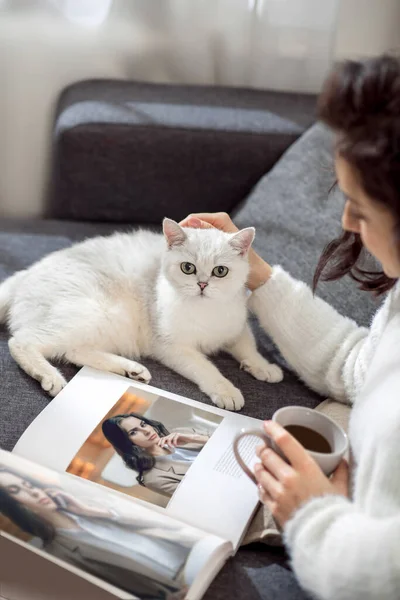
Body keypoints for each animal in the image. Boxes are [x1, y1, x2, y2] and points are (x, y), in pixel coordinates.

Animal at [0, 218, 282, 410]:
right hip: (94, 313)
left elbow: (249, 348)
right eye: (188, 268)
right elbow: (206, 368)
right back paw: (49, 376)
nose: (202, 285)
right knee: (23, 342)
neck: (206, 311)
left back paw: (131, 370)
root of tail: (26, 273)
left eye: (220, 271)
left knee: (74, 352)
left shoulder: (237, 327)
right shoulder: (172, 347)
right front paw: (226, 390)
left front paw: (264, 367)